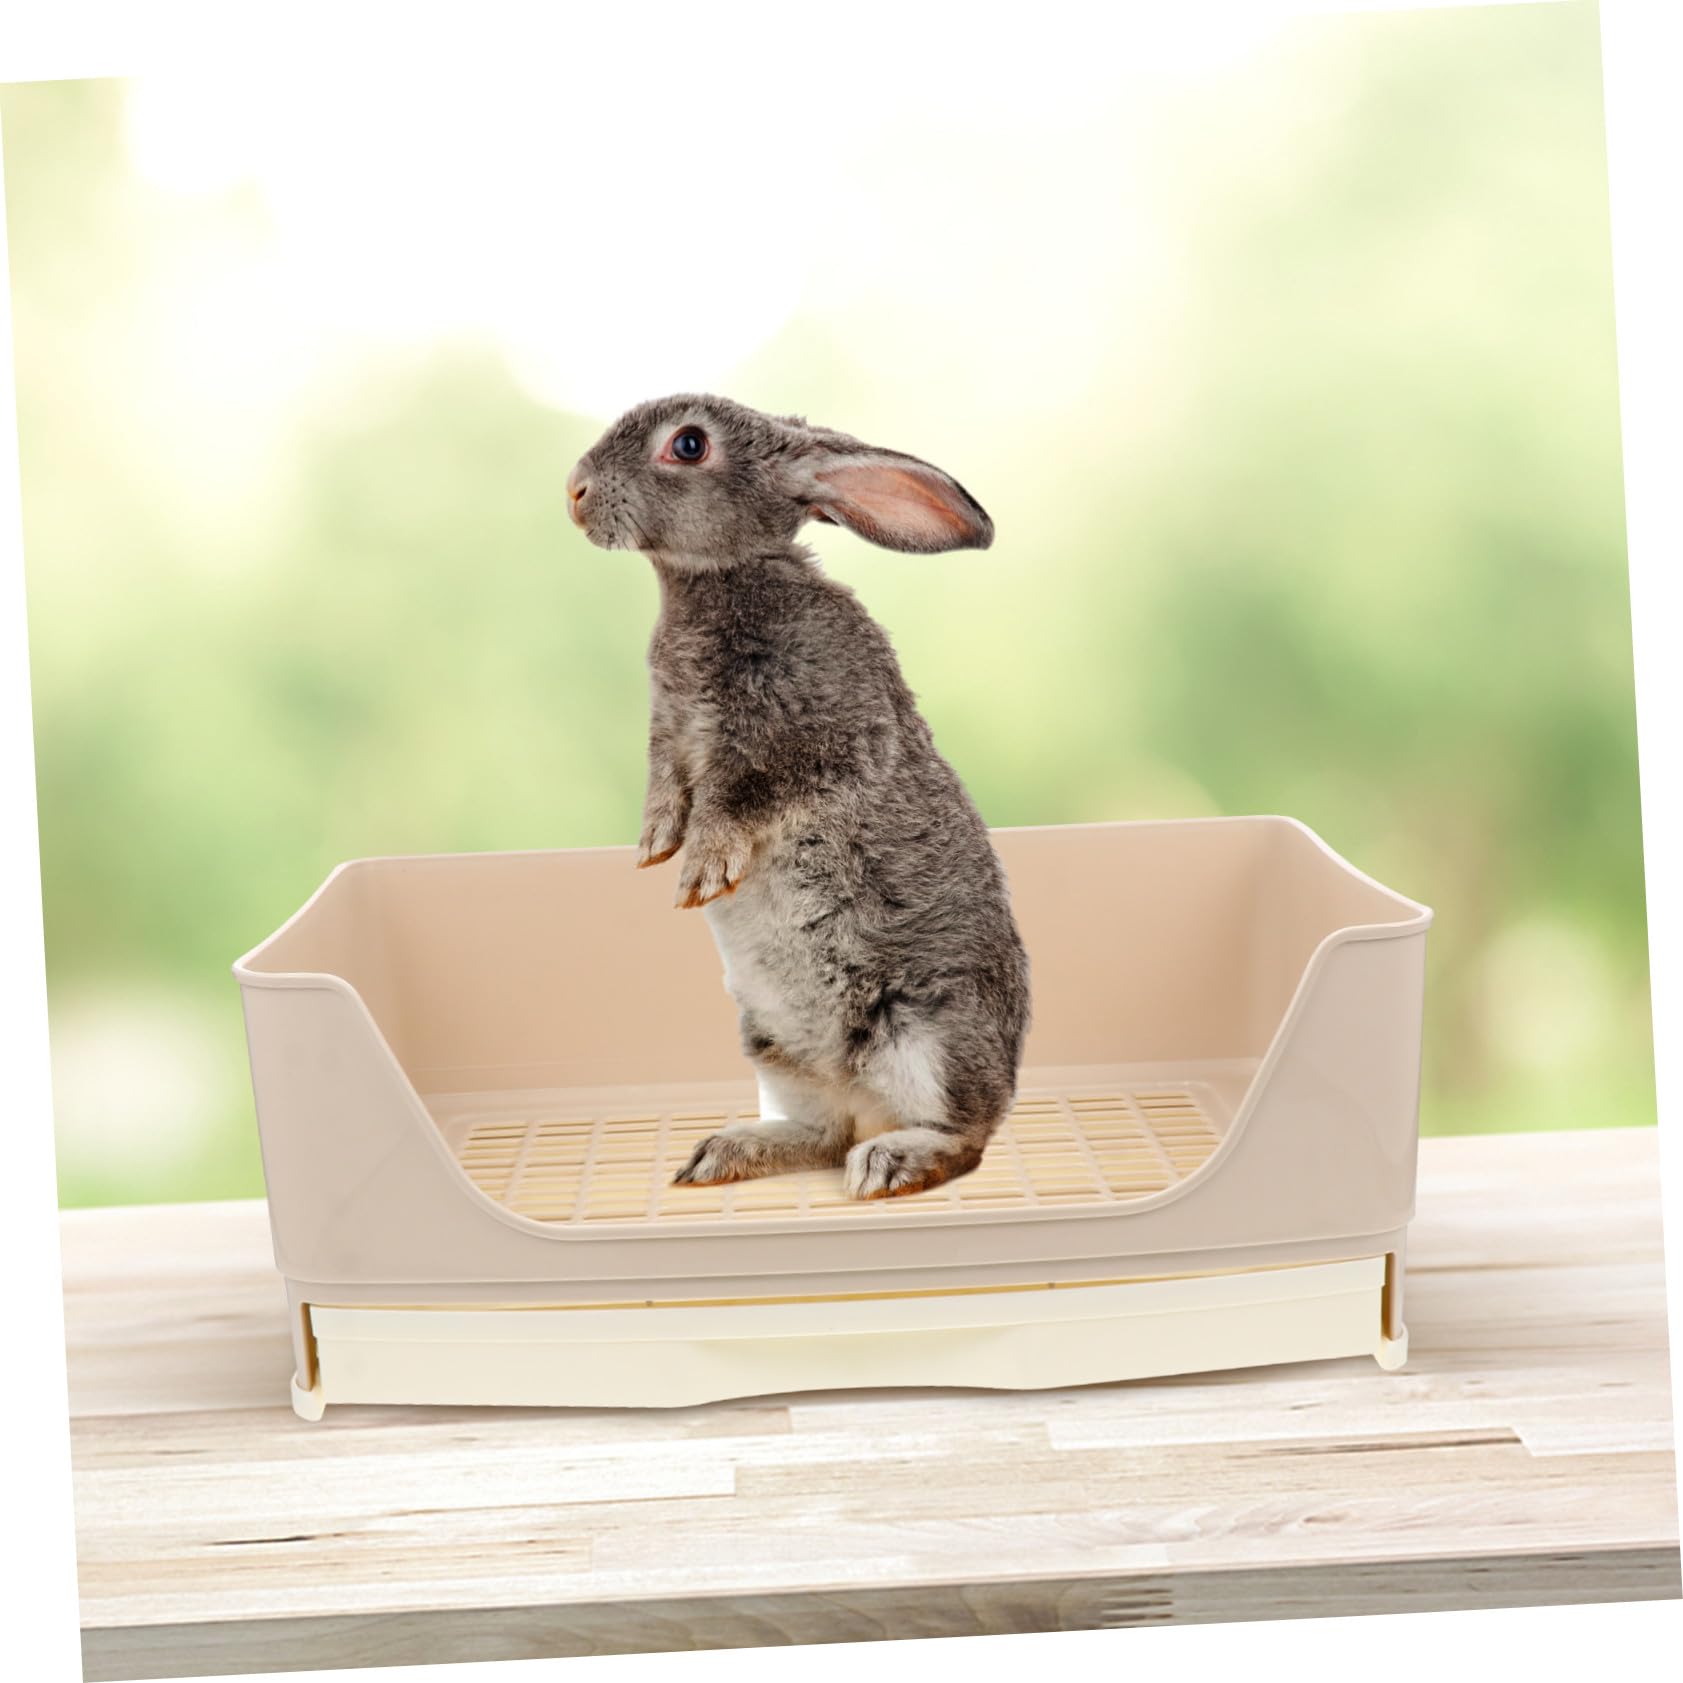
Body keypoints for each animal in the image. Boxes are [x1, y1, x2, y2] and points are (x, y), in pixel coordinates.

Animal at [566, 394, 1030, 1199]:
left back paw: (889, 1163)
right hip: (771, 1043)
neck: (722, 577)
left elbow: (740, 799)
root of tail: (864, 1098)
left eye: (689, 445)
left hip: (927, 1033)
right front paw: (653, 846)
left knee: (963, 1135)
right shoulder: (671, 736)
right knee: (822, 1133)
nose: (575, 491)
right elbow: (667, 786)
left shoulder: (809, 739)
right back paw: (726, 1151)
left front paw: (701, 869)